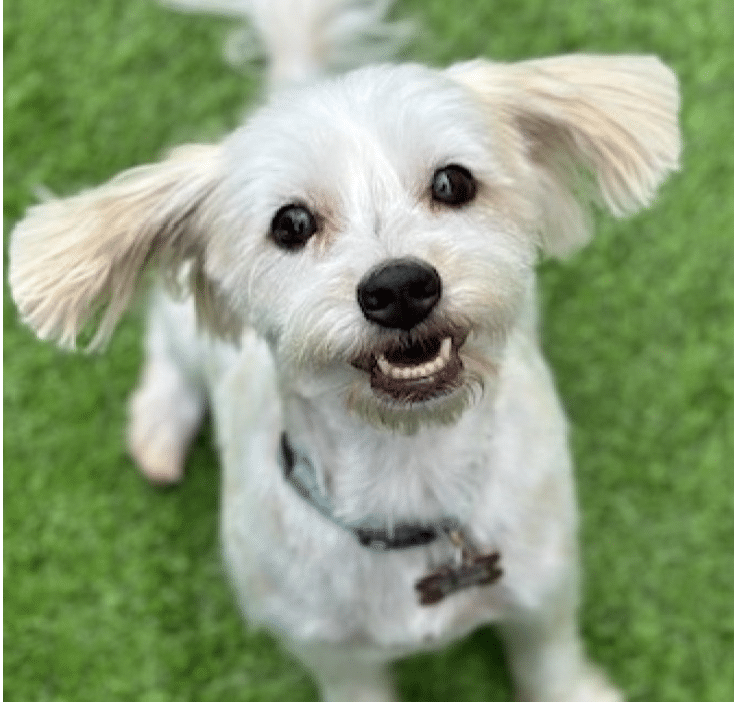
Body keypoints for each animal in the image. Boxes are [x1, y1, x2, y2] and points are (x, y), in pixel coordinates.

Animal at [8, 2, 680, 700]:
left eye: (452, 182)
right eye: (292, 224)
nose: (399, 287)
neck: (411, 471)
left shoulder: (544, 584)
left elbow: (549, 658)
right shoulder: (329, 650)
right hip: (189, 331)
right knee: (167, 350)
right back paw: (159, 426)